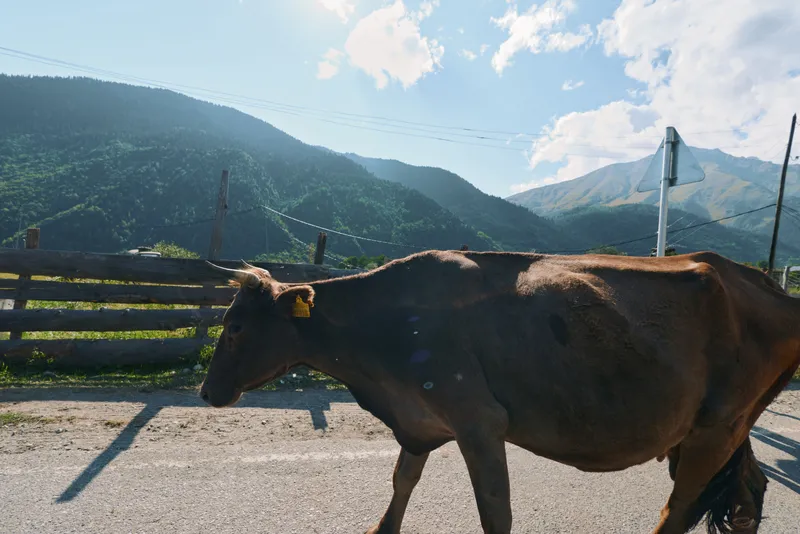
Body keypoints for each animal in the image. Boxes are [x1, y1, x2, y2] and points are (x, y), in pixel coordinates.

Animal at [199, 250, 800, 534]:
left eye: (236, 327)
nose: (206, 391)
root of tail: (757, 279)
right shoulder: (420, 419)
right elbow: (402, 480)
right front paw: (380, 528)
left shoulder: (478, 420)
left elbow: (495, 511)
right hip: (723, 426)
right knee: (748, 491)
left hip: (715, 430)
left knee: (678, 509)